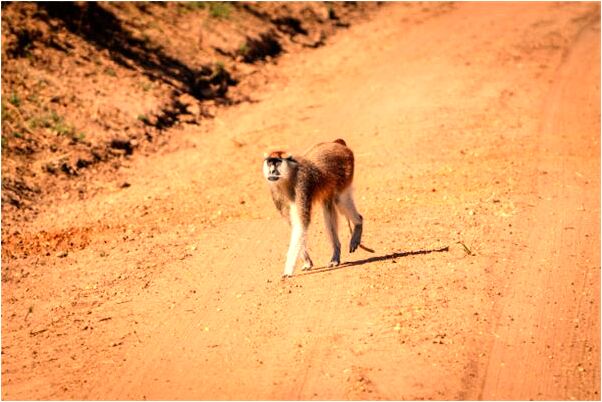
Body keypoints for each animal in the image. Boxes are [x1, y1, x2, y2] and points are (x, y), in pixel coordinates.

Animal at [262, 138, 360, 276]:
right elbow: (295, 225)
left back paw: (358, 223)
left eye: (277, 162)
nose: (271, 171)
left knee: (339, 199)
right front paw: (307, 261)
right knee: (328, 205)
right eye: (270, 162)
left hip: (346, 169)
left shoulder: (302, 184)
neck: (289, 176)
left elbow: (302, 223)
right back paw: (335, 255)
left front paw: (288, 269)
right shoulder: (275, 191)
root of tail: (336, 143)